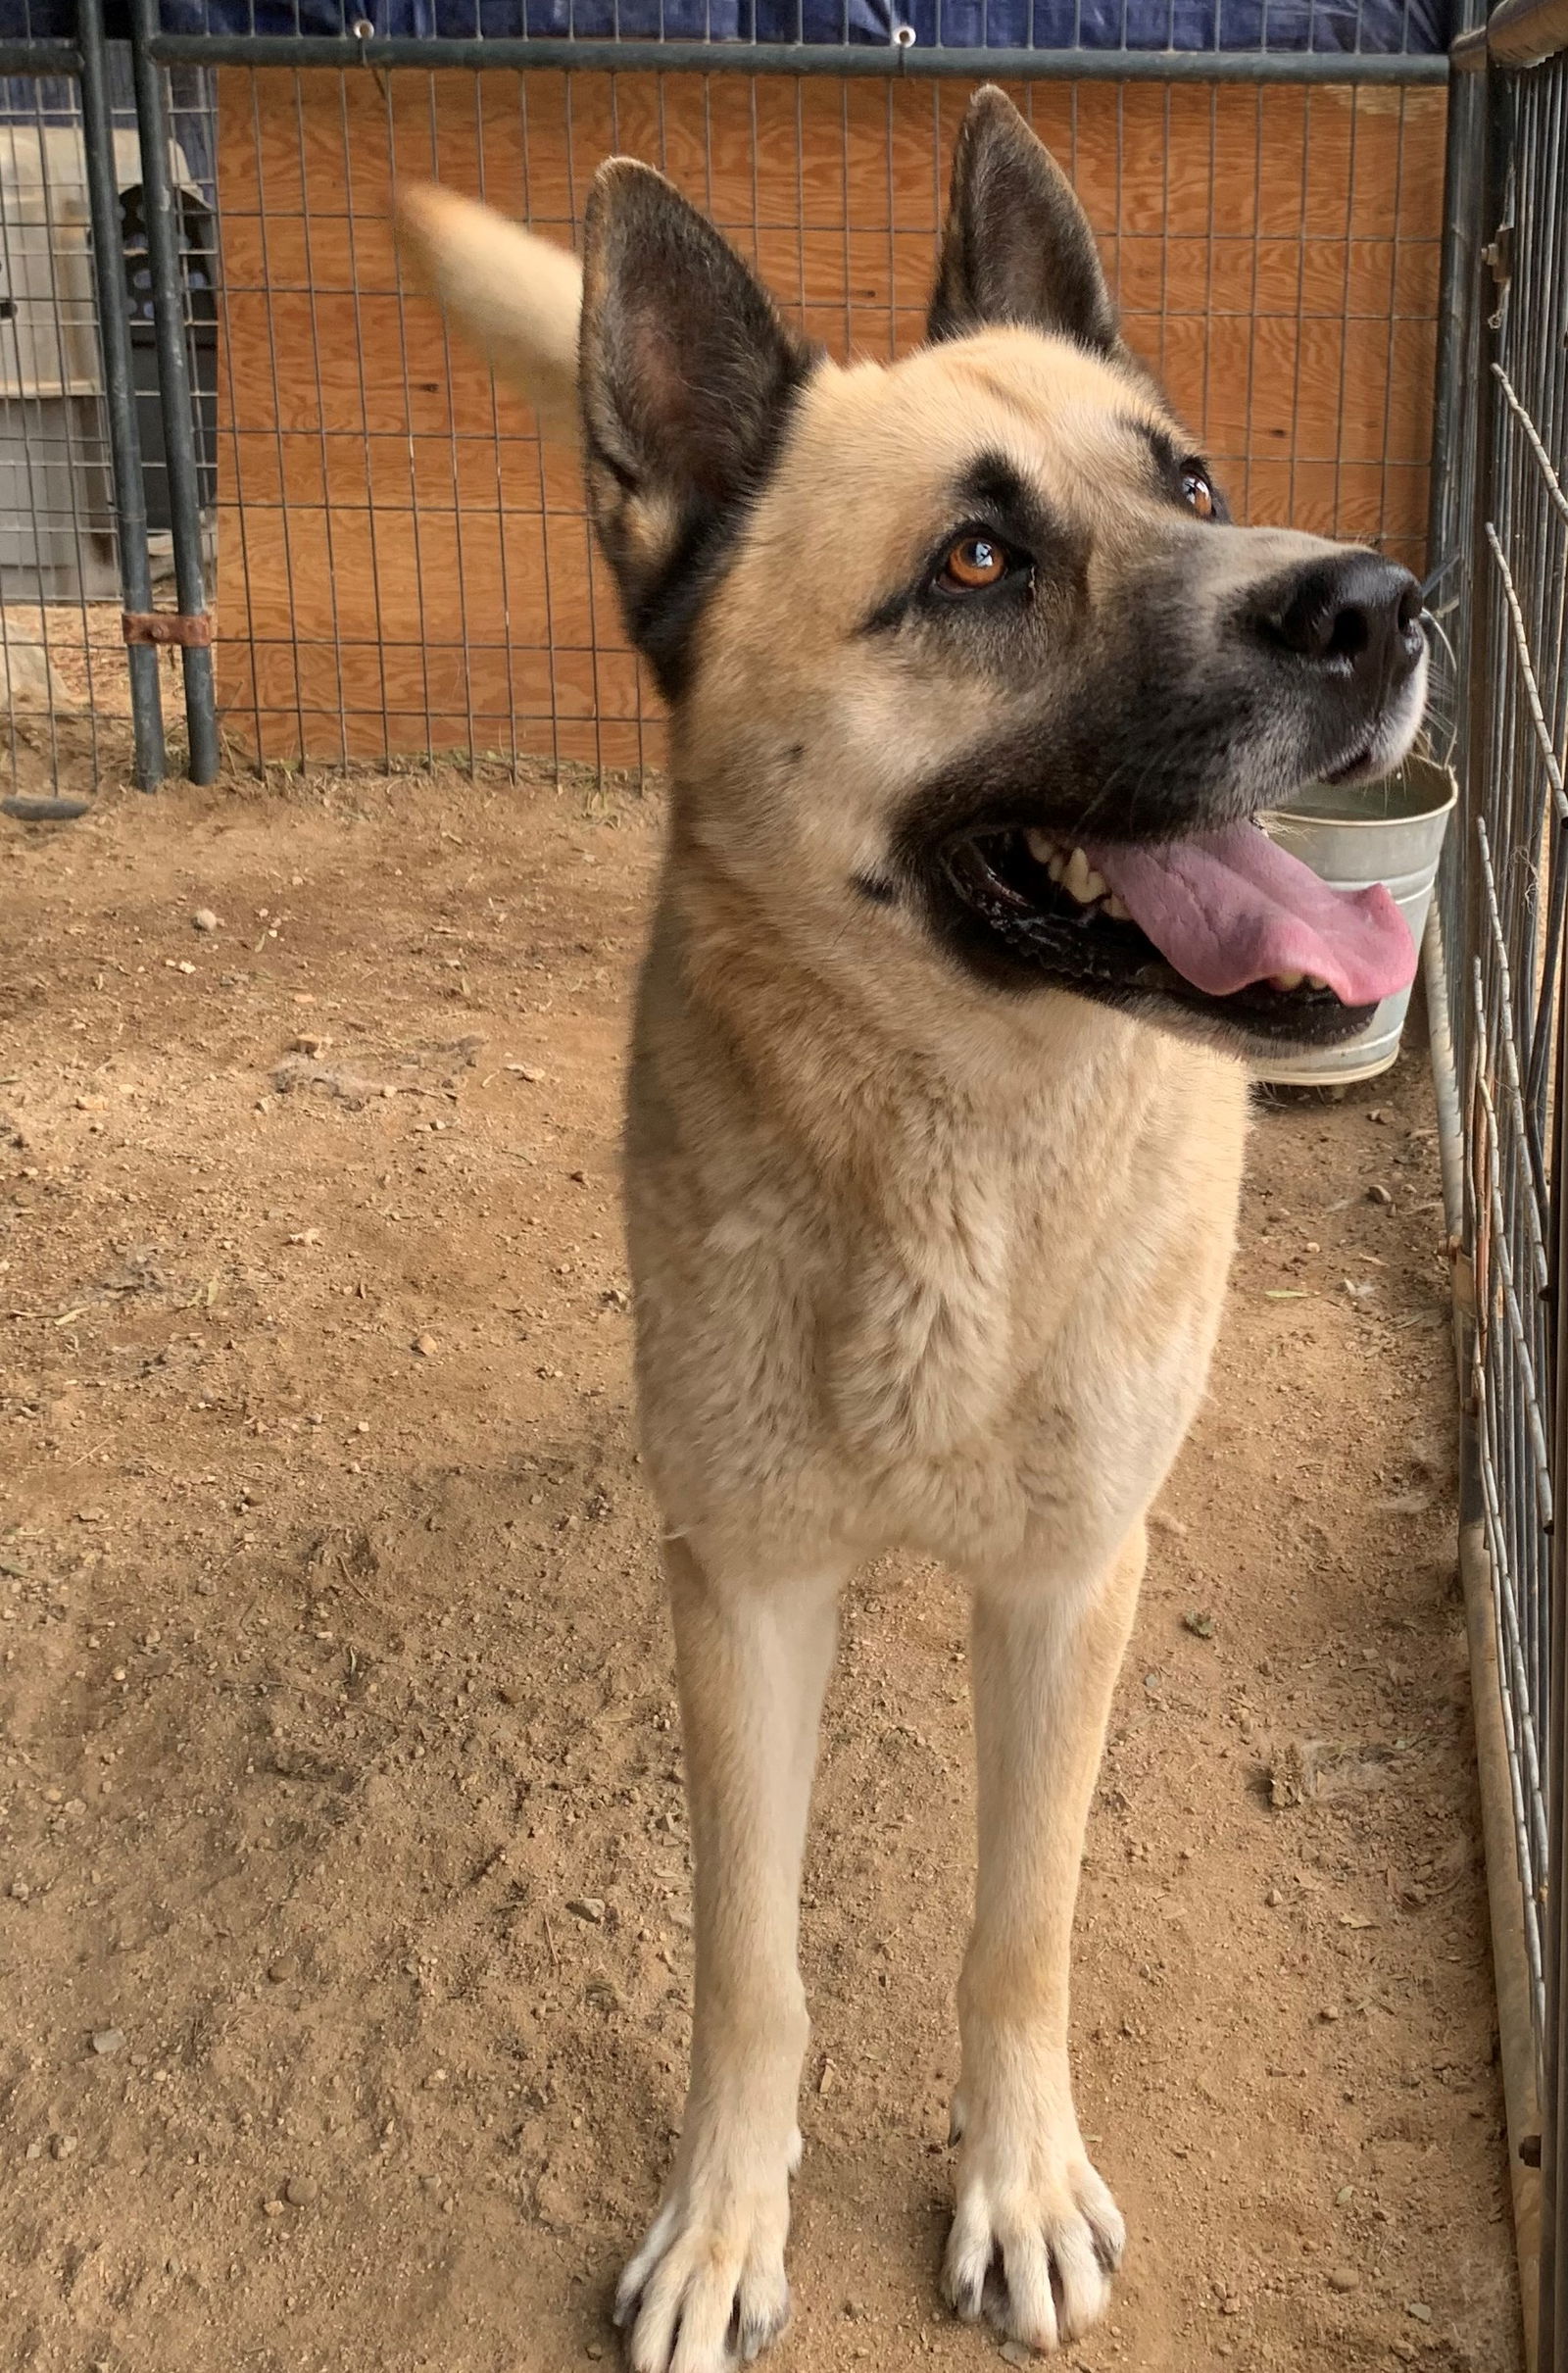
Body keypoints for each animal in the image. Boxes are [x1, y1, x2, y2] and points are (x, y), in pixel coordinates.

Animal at [398, 87, 1423, 2353]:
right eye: (975, 563)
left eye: (1194, 484)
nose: (1384, 602)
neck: (959, 1154)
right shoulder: (744, 1593)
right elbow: (749, 1960)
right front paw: (722, 2219)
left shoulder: (1062, 1588)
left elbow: (1016, 1928)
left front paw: (1015, 2182)